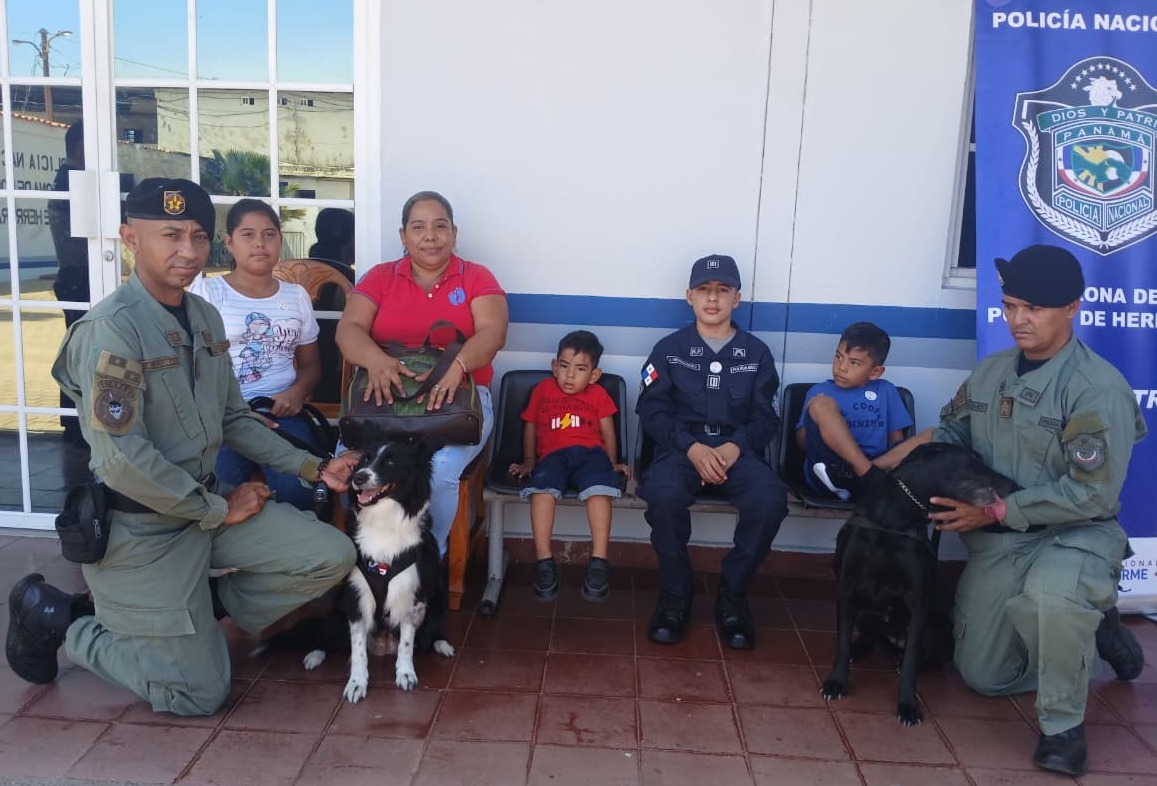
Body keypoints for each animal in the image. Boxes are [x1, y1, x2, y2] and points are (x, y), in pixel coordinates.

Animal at [296, 434, 456, 702]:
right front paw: (356, 683)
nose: (358, 477)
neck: (384, 521)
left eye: (391, 462)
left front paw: (405, 674)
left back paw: (442, 644)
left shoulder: (411, 596)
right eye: (365, 459)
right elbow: (358, 650)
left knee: (428, 634)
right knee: (326, 634)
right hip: (339, 608)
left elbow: (406, 643)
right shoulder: (356, 597)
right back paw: (315, 655)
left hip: (437, 597)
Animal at [820, 442, 1017, 725]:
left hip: (938, 630)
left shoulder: (918, 602)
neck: (894, 517)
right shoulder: (847, 588)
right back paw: (860, 649)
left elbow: (913, 658)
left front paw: (907, 705)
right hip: (865, 613)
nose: (1012, 484)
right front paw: (837, 681)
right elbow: (842, 643)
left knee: (920, 656)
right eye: (973, 459)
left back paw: (901, 661)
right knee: (868, 635)